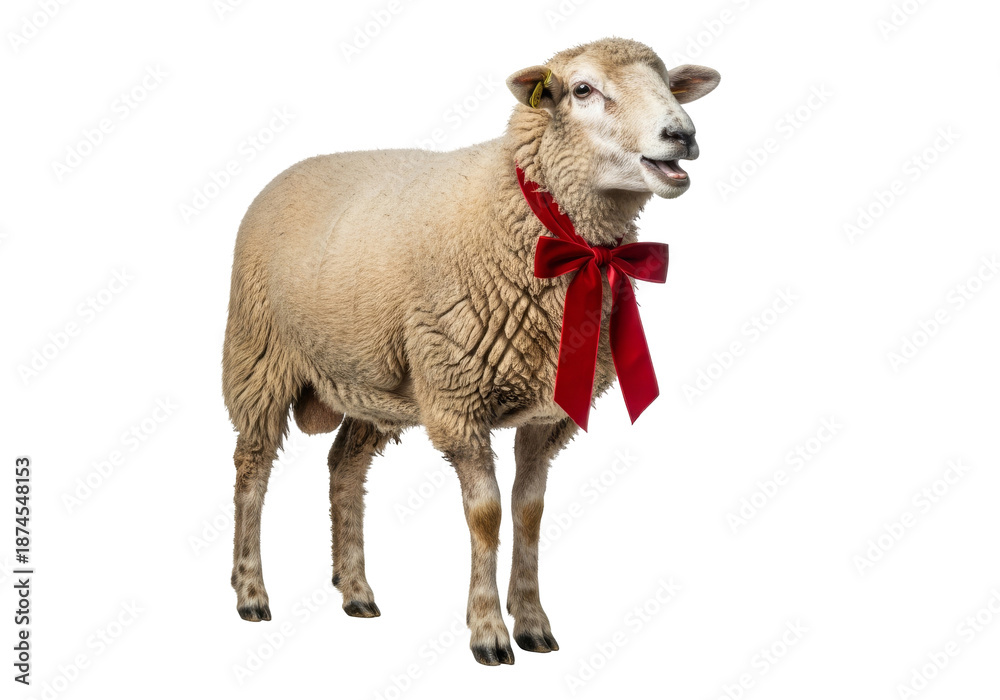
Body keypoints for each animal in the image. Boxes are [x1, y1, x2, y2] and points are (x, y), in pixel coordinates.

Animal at [222, 36, 719, 666]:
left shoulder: (548, 411)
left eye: (666, 83)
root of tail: (290, 171)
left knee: (343, 466)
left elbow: (529, 512)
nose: (681, 134)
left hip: (373, 384)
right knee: (251, 470)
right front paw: (488, 632)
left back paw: (356, 590)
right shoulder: (458, 400)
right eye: (582, 89)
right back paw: (250, 592)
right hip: (259, 358)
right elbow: (486, 515)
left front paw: (533, 623)